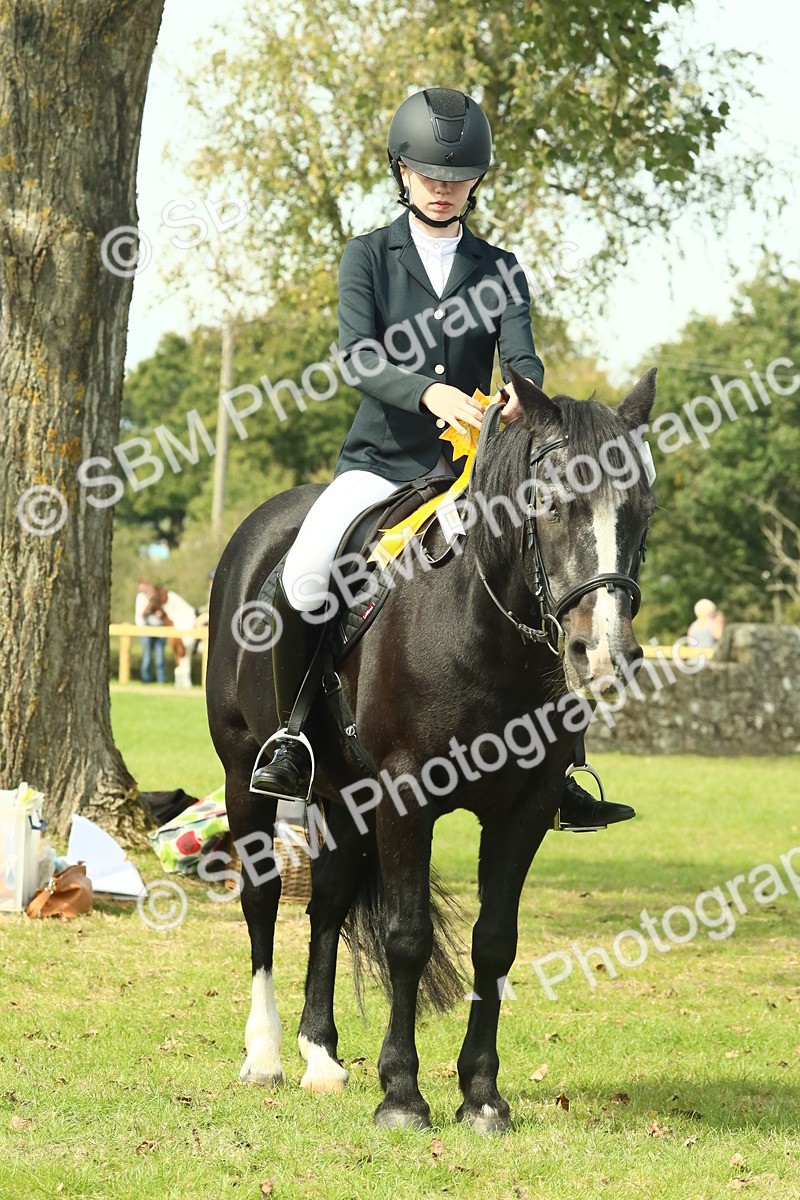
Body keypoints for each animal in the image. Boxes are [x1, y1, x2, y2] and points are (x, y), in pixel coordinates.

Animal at [205, 368, 656, 1132]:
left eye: (642, 510)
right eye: (551, 502)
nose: (604, 656)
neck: (482, 626)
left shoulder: (524, 809)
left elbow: (494, 941)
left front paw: (482, 1096)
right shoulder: (405, 794)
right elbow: (408, 937)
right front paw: (402, 1094)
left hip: (342, 795)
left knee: (326, 905)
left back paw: (320, 1058)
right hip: (245, 775)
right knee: (262, 899)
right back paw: (264, 1055)